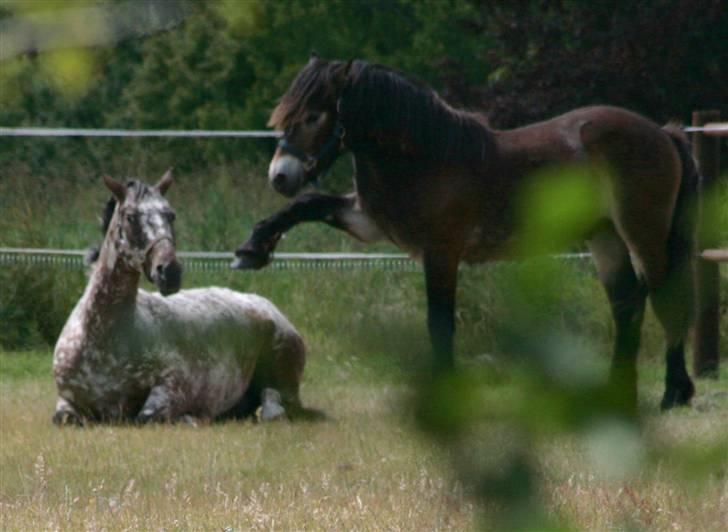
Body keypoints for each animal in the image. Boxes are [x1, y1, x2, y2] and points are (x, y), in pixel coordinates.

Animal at [53, 172, 310, 426]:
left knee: (273, 401)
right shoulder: (66, 402)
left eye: (171, 215)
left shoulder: (171, 385)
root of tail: (270, 308)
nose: (170, 272)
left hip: (282, 379)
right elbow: (62, 418)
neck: (101, 338)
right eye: (130, 217)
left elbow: (146, 417)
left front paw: (190, 418)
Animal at [233, 57, 700, 412]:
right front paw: (252, 248)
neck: (426, 157)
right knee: (628, 304)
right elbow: (307, 205)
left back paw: (675, 393)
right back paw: (618, 394)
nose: (280, 176)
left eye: (314, 115)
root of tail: (663, 132)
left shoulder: (442, 251)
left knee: (667, 297)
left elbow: (440, 323)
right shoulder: (368, 223)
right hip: (605, 238)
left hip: (643, 232)